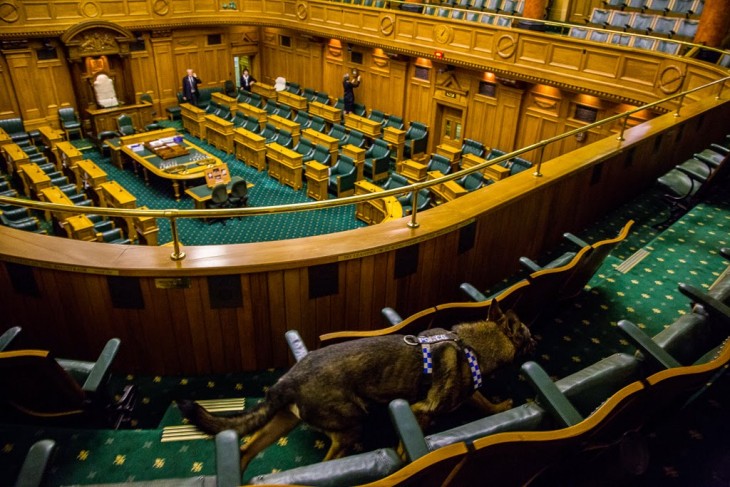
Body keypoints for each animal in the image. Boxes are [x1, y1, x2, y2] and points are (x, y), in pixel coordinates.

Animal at [175, 304, 528, 472]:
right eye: (528, 332)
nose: (536, 338)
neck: (471, 344)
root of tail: (288, 381)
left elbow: (482, 400)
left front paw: (500, 406)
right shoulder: (419, 411)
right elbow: (407, 446)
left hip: (283, 421)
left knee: (247, 449)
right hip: (350, 423)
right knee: (327, 462)